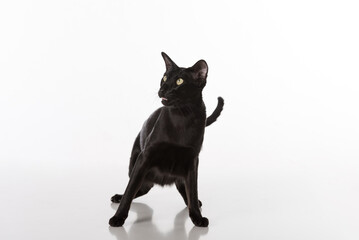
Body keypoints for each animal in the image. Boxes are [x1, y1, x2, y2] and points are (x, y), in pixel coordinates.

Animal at [108, 52, 224, 227]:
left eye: (179, 81)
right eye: (164, 78)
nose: (162, 89)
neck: (182, 116)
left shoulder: (193, 160)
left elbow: (193, 189)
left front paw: (197, 217)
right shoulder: (145, 157)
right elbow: (130, 189)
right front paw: (118, 217)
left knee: (180, 188)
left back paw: (195, 203)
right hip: (134, 163)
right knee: (140, 187)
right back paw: (117, 197)